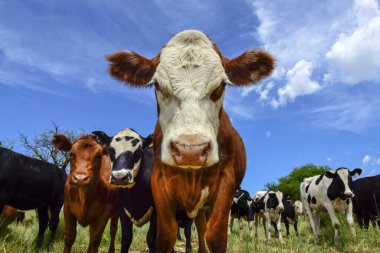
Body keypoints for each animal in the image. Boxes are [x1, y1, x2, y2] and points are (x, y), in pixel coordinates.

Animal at [105, 29, 274, 251]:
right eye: (157, 85)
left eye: (221, 86)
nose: (190, 151)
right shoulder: (159, 183)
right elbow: (164, 236)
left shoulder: (226, 182)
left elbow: (216, 236)